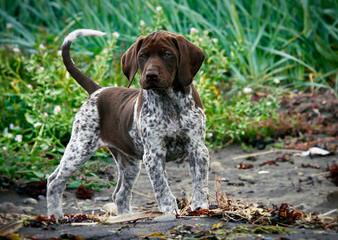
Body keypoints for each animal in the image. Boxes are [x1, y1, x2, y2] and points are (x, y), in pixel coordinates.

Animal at [47, 28, 209, 218]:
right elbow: (162, 187)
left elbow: (200, 182)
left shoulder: (197, 149)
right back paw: (55, 215)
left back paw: (126, 216)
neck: (169, 101)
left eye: (168, 54)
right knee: (54, 181)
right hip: (80, 148)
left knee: (120, 194)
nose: (150, 75)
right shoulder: (153, 154)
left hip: (129, 163)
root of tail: (98, 91)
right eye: (142, 56)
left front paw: (200, 206)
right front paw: (170, 210)